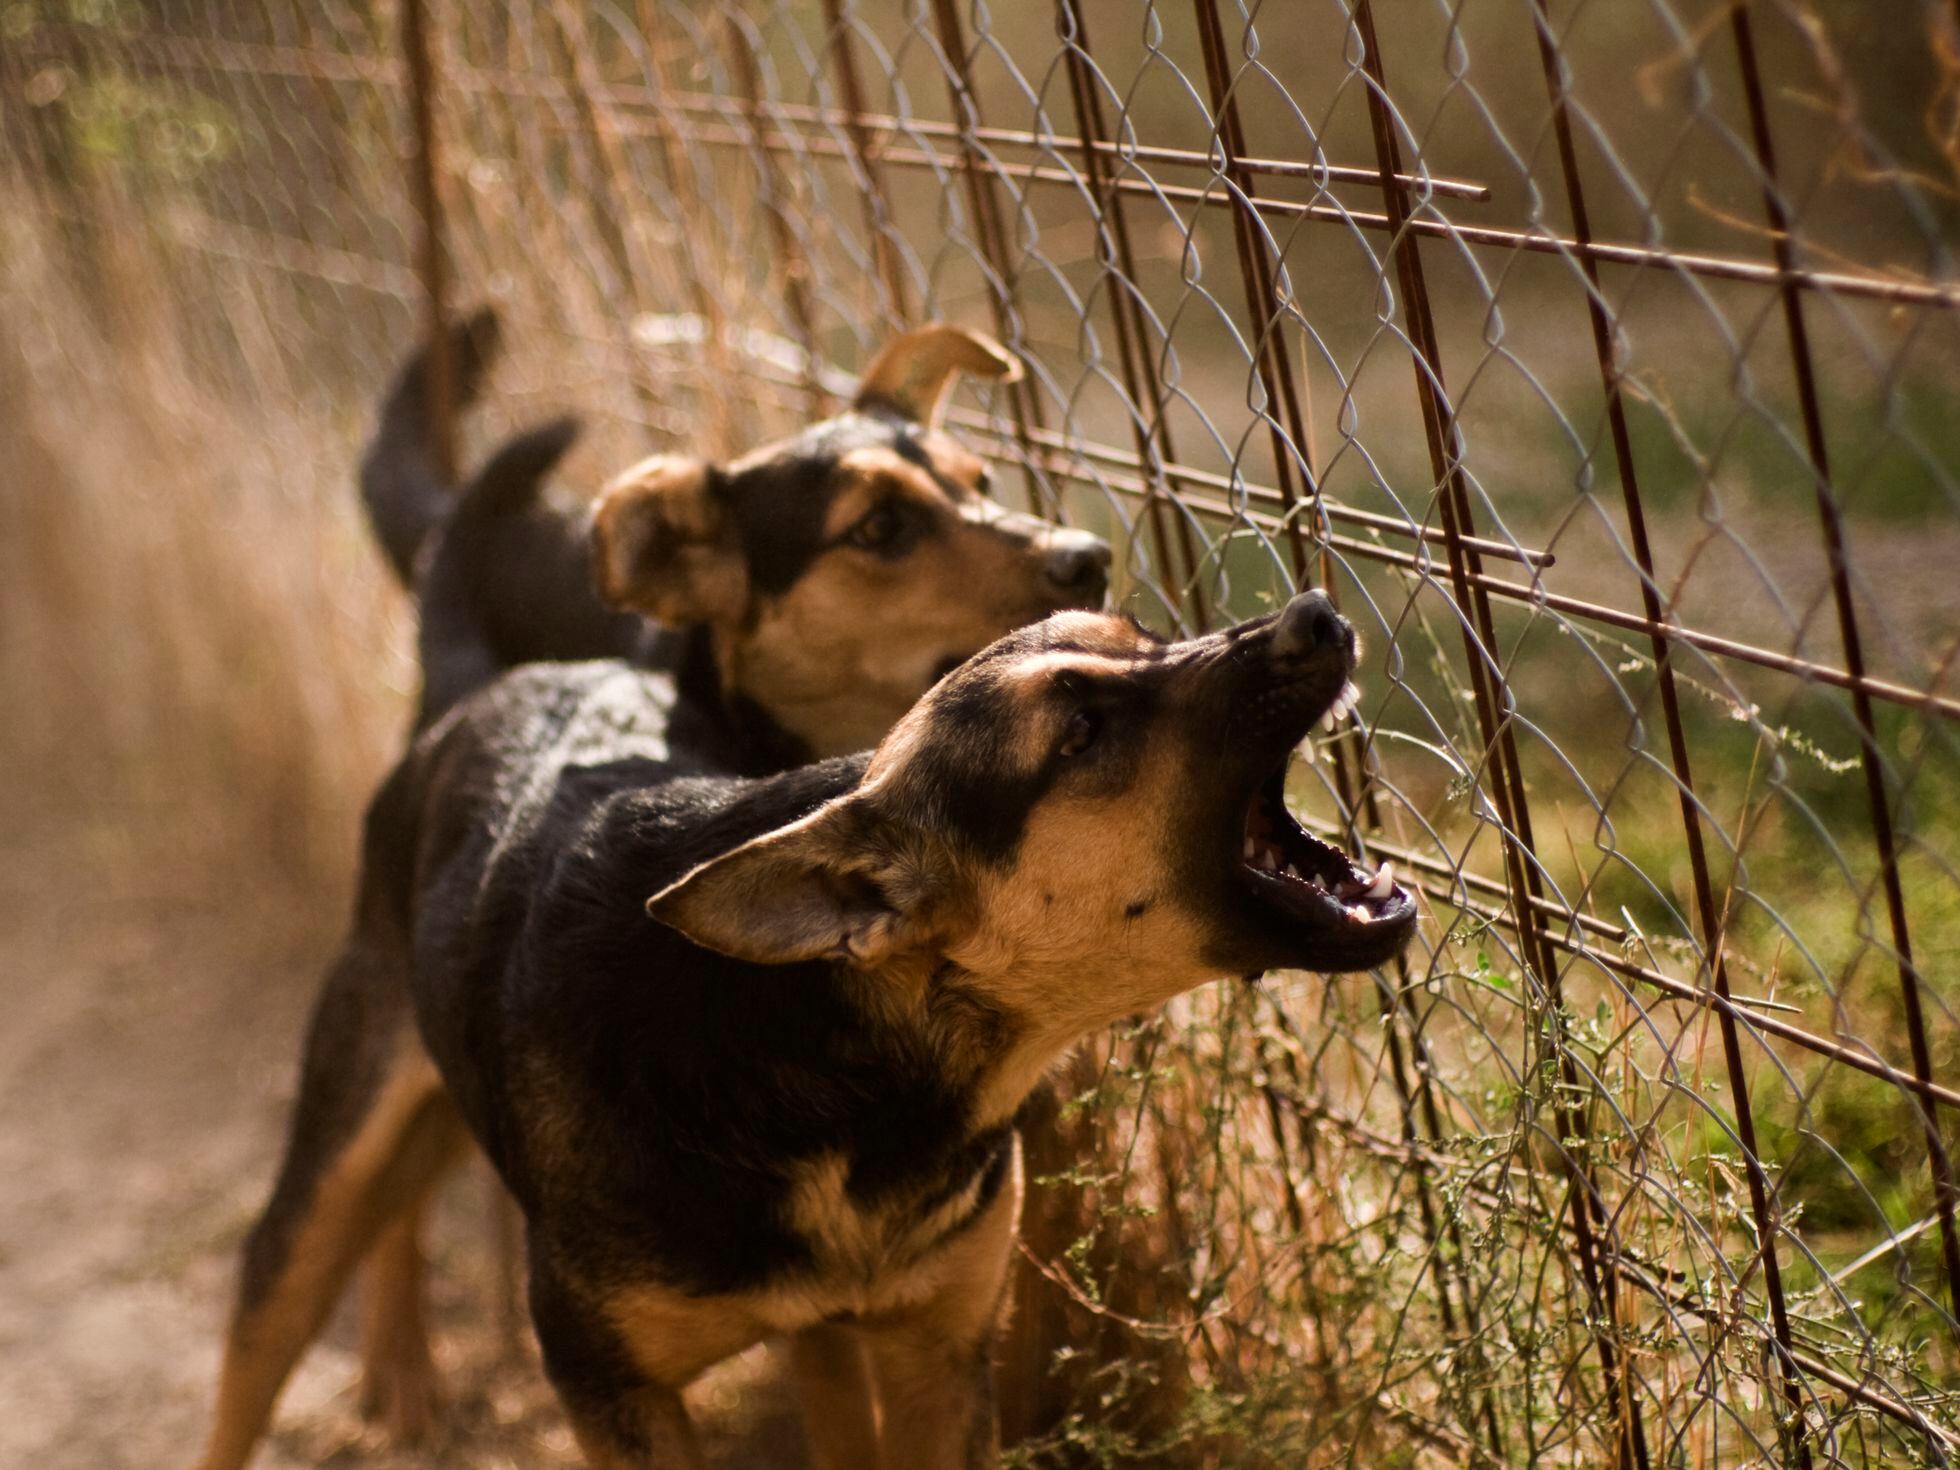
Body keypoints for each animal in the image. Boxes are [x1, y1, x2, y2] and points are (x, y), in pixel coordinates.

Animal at [191, 591, 1419, 1470]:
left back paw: (402, 1370)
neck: (828, 1052)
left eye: (1146, 638)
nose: (1318, 613)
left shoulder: (935, 1354)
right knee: (274, 1312)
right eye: (1079, 731)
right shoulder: (611, 1393)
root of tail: (489, 683)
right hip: (329, 1155)